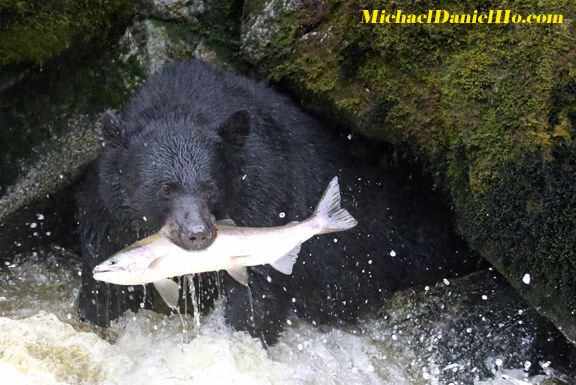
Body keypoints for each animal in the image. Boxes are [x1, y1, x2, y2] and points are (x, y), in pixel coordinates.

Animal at [75, 59, 472, 342]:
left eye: (211, 187)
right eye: (165, 189)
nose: (198, 234)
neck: (180, 105)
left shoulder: (265, 194)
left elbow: (257, 292)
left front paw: (244, 334)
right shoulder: (109, 208)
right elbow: (101, 270)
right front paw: (96, 310)